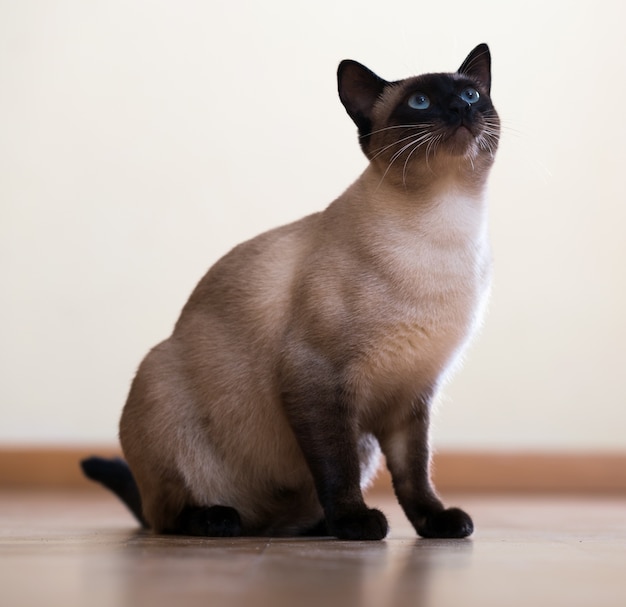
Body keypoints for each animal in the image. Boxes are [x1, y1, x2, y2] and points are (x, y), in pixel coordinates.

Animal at [83, 44, 500, 540]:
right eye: (420, 102)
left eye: (471, 94)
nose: (460, 109)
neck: (445, 224)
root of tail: (262, 525)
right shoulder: (316, 377)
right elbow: (336, 467)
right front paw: (357, 523)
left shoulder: (410, 393)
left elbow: (415, 475)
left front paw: (437, 524)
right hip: (159, 382)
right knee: (164, 516)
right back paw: (220, 519)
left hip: (362, 443)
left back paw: (312, 527)